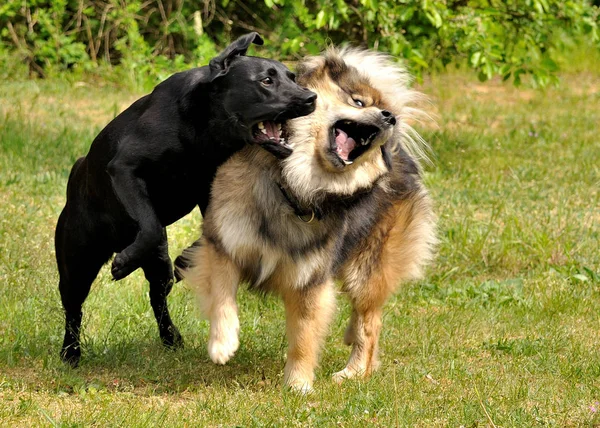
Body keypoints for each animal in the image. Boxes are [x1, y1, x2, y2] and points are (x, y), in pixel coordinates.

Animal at [55, 34, 316, 368]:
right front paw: (124, 264)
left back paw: (170, 335)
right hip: (77, 264)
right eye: (266, 80)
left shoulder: (208, 190)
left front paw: (185, 260)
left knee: (157, 297)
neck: (203, 126)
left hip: (154, 267)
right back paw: (71, 352)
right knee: (73, 310)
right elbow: (151, 225)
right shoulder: (124, 170)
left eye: (291, 77)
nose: (311, 98)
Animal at [178, 46, 436, 392]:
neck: (292, 186)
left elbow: (303, 337)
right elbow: (222, 296)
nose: (389, 117)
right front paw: (222, 344)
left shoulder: (310, 279)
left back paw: (355, 371)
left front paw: (297, 384)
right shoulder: (222, 244)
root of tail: (402, 154)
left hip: (367, 269)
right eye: (358, 102)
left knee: (371, 321)